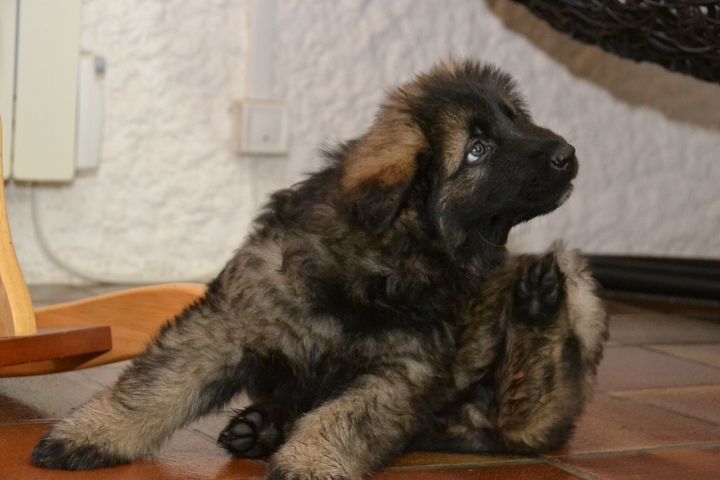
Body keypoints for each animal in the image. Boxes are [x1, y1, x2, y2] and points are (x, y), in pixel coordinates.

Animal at [33, 59, 583, 479]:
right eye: (476, 150)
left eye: (515, 119)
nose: (568, 152)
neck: (382, 260)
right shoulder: (226, 324)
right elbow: (156, 386)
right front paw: (92, 434)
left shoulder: (400, 372)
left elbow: (343, 418)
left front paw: (311, 463)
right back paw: (260, 428)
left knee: (537, 406)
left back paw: (539, 302)